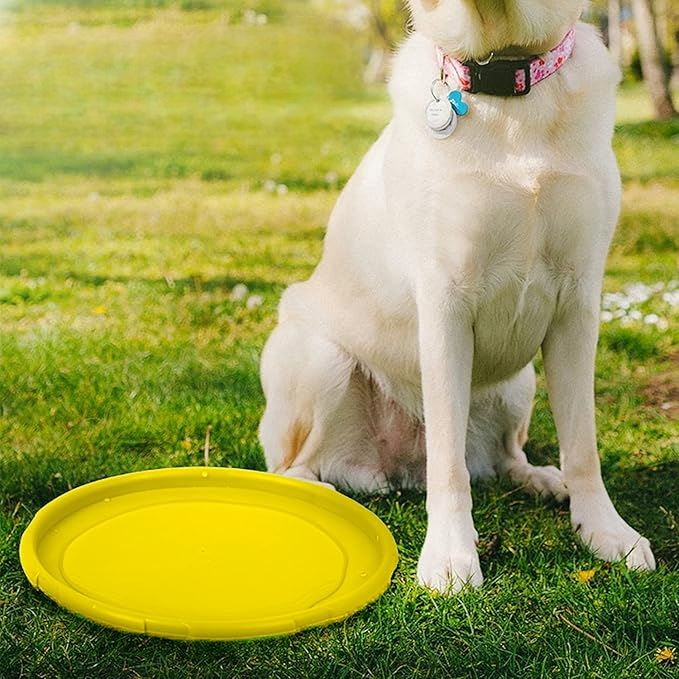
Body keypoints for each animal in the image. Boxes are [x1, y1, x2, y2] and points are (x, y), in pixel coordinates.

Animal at [258, 0, 656, 592]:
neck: (508, 80)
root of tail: (396, 469)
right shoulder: (445, 302)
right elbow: (448, 464)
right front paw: (450, 555)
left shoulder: (578, 303)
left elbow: (583, 444)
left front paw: (605, 531)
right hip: (319, 359)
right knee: (294, 466)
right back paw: (320, 493)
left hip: (519, 383)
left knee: (506, 455)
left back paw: (542, 479)